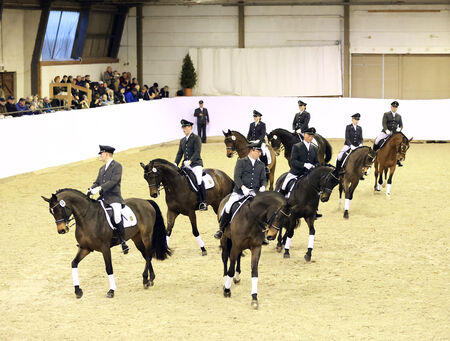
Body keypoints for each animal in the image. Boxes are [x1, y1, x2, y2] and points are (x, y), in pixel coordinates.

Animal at [41, 189, 171, 298]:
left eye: (58, 209)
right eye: (51, 212)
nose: (62, 230)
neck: (87, 218)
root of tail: (146, 201)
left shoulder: (105, 248)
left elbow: (109, 268)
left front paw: (111, 291)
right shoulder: (85, 248)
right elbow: (74, 263)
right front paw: (78, 291)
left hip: (146, 235)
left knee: (149, 254)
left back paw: (145, 279)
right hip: (136, 238)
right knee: (146, 255)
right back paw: (150, 279)